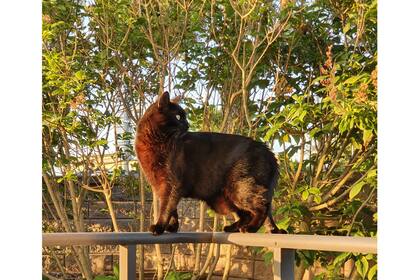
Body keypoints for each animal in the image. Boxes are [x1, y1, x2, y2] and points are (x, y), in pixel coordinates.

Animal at [135, 91, 286, 234]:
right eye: (178, 117)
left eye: (184, 117)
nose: (188, 124)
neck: (156, 142)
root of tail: (269, 152)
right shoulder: (160, 187)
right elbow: (173, 210)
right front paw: (172, 227)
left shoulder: (172, 185)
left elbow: (167, 208)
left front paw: (159, 227)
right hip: (223, 200)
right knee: (247, 214)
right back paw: (232, 227)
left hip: (239, 188)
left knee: (262, 206)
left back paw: (250, 228)